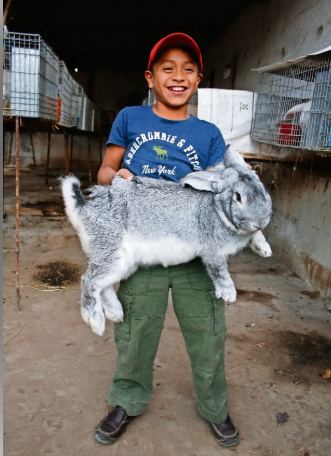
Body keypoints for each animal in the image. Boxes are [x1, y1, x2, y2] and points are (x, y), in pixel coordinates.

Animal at [61, 146, 272, 334]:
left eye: (263, 190)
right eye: (238, 197)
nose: (261, 221)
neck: (216, 207)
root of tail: (83, 211)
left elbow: (255, 236)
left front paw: (265, 249)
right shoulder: (213, 252)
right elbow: (220, 272)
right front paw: (229, 294)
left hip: (126, 263)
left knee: (102, 286)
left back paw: (116, 313)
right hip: (113, 254)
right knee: (89, 280)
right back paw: (96, 322)